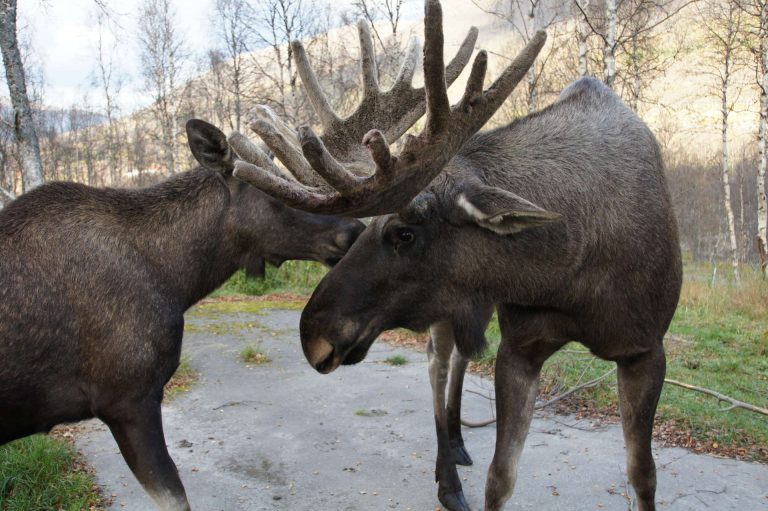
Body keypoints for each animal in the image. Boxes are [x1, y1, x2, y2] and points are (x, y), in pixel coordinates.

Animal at [223, 1, 683, 510]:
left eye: (404, 233)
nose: (312, 335)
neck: (568, 273)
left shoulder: (645, 351)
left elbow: (643, 474)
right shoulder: (520, 345)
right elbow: (500, 477)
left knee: (459, 361)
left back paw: (459, 441)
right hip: (445, 308)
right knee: (437, 366)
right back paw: (448, 477)